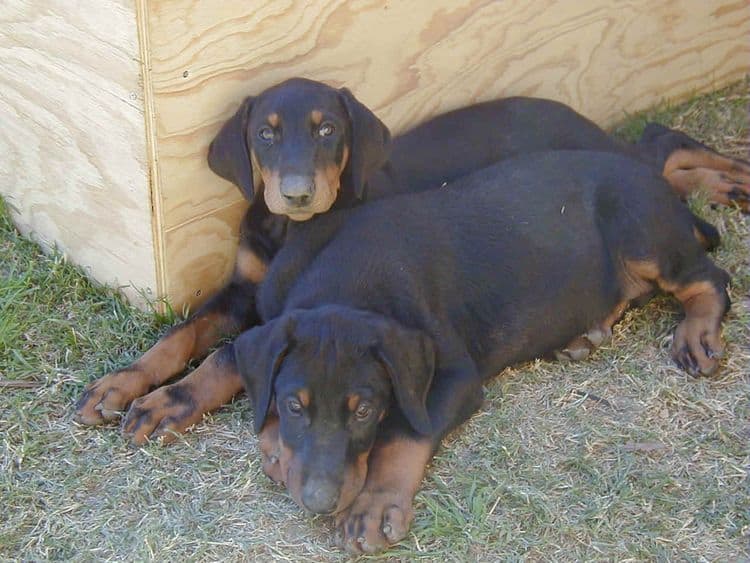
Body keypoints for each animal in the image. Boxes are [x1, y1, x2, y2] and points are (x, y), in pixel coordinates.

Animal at [72, 78, 750, 446]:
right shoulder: (245, 289)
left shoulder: (293, 308)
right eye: (266, 133)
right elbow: (183, 335)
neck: (287, 231)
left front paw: (167, 403)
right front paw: (119, 384)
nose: (295, 193)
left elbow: (223, 356)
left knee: (667, 156)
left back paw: (730, 188)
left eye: (327, 130)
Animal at [231, 150, 736, 556]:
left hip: (640, 228)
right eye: (294, 405)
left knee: (709, 279)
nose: (319, 502)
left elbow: (403, 434)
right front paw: (277, 450)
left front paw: (374, 507)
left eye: (364, 411)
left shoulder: (454, 376)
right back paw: (585, 334)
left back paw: (696, 334)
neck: (346, 277)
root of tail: (656, 180)